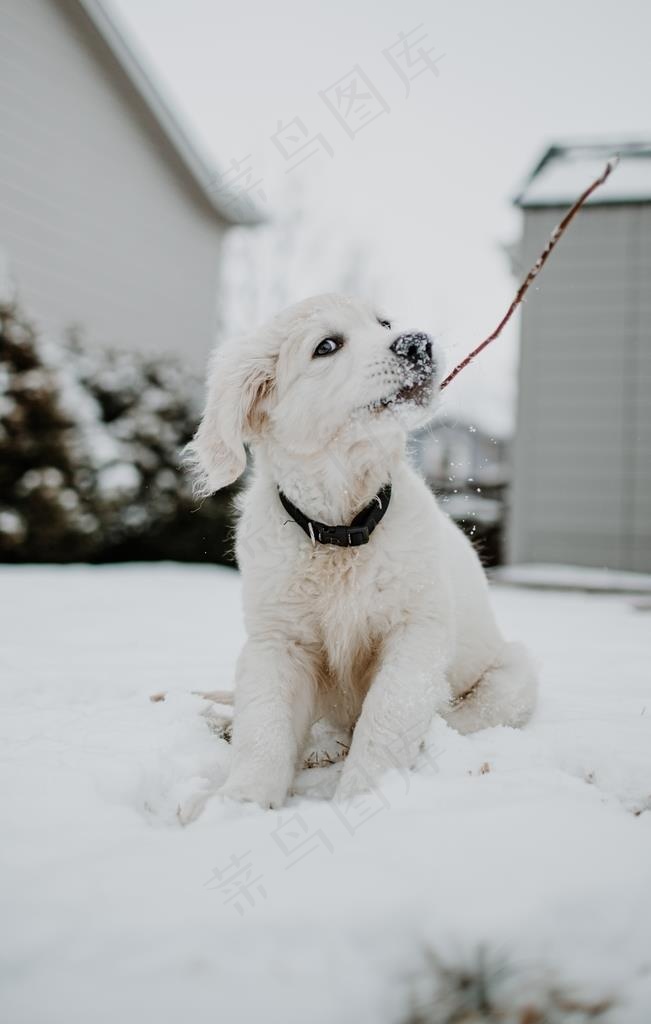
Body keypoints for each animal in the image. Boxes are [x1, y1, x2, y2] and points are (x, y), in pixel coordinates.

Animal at [185, 294, 536, 806]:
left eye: (384, 323)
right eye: (326, 346)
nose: (417, 342)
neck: (341, 529)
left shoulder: (416, 632)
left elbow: (386, 717)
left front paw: (364, 796)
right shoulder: (277, 641)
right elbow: (265, 726)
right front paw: (242, 801)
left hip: (512, 678)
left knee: (460, 716)